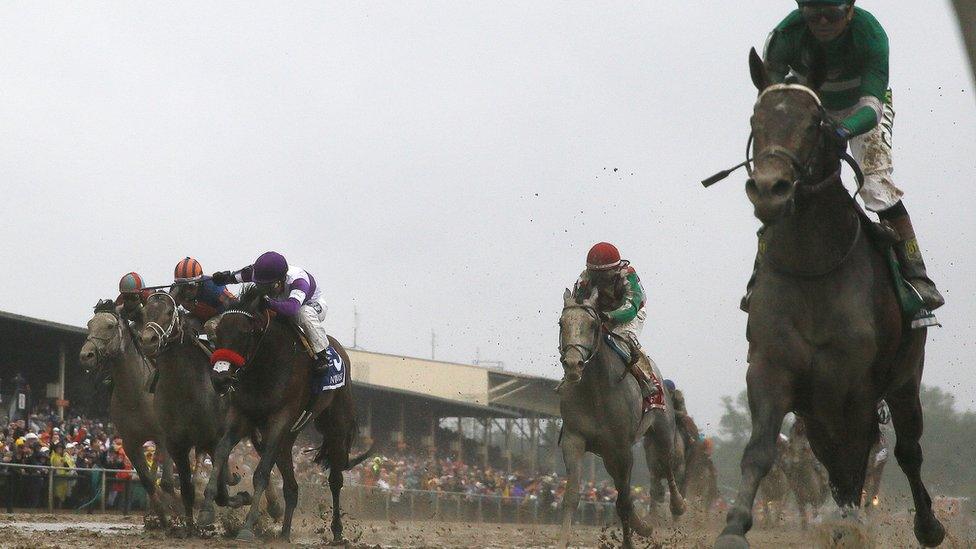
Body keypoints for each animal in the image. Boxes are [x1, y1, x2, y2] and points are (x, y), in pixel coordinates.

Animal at [79, 300, 174, 524]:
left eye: (110, 325)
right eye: (89, 324)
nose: (86, 356)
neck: (136, 394)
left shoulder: (165, 437)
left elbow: (167, 480)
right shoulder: (130, 444)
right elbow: (148, 480)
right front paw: (162, 516)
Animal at [195, 284, 370, 540]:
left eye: (245, 333)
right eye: (217, 334)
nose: (220, 379)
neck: (265, 366)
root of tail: (341, 351)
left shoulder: (279, 419)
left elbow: (261, 473)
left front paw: (247, 528)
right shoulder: (242, 416)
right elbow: (220, 453)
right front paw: (205, 512)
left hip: (335, 425)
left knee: (335, 480)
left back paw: (337, 532)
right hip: (288, 438)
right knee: (291, 487)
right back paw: (285, 533)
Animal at [556, 288, 688, 544]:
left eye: (592, 325)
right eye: (561, 323)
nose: (573, 364)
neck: (596, 393)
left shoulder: (623, 448)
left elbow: (624, 501)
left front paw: (630, 540)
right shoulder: (574, 439)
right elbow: (572, 494)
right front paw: (562, 540)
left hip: (663, 431)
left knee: (666, 465)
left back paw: (677, 506)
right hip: (608, 454)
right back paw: (644, 524)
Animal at [708, 49, 944, 544]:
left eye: (814, 122)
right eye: (756, 118)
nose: (770, 188)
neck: (813, 265)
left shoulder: (854, 385)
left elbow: (859, 462)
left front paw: (852, 524)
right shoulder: (773, 369)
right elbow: (761, 450)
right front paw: (734, 527)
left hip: (905, 377)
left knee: (907, 450)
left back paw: (926, 525)